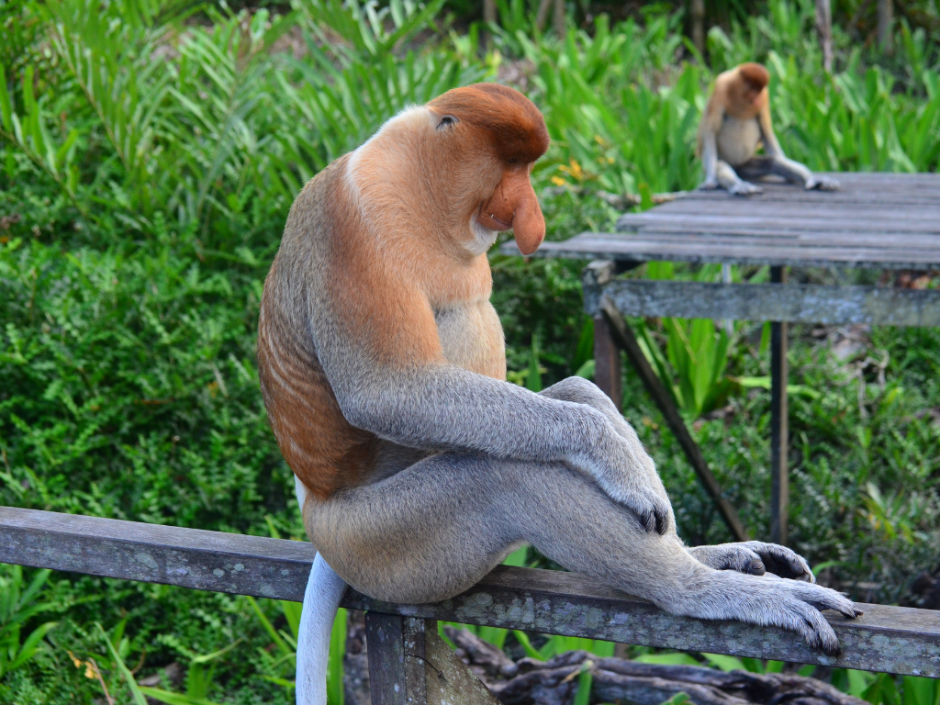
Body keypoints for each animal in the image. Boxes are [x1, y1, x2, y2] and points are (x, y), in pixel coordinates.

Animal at [257, 83, 859, 704]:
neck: (417, 182)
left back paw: (711, 555)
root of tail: (317, 507)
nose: (530, 214)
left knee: (572, 392)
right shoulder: (353, 223)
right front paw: (617, 458)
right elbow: (387, 392)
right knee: (504, 475)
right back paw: (701, 588)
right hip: (383, 543)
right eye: (510, 167)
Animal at [698, 63, 840, 195]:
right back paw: (739, 186)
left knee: (773, 162)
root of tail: (737, 166)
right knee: (721, 166)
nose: (756, 99)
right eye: (752, 87)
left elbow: (766, 131)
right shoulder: (720, 90)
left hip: (746, 164)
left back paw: (813, 179)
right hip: (723, 161)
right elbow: (710, 132)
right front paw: (710, 181)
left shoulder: (764, 97)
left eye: (759, 89)